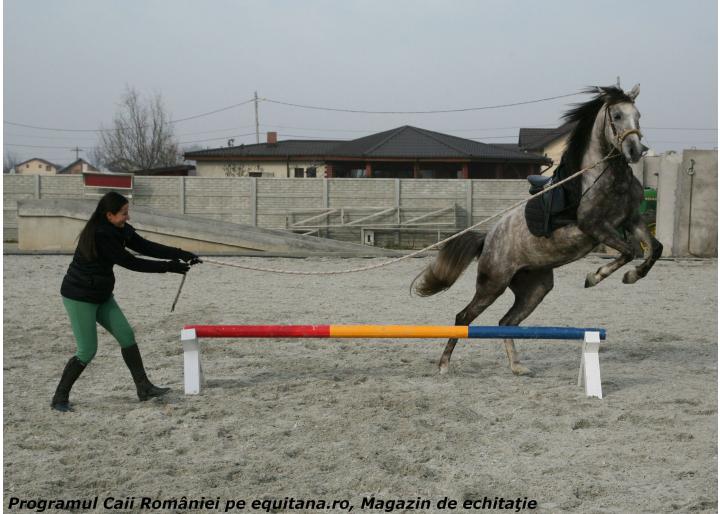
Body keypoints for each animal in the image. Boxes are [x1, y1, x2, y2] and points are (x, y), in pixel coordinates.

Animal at [414, 83, 660, 372]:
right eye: (618, 116)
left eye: (638, 115)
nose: (636, 151)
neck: (601, 177)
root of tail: (488, 239)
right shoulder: (596, 226)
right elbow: (630, 250)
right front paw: (595, 277)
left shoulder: (632, 220)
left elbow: (653, 249)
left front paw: (632, 276)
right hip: (492, 284)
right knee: (463, 317)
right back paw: (444, 364)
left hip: (535, 288)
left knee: (506, 322)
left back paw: (517, 366)